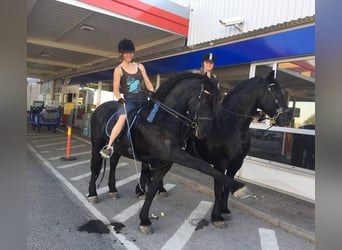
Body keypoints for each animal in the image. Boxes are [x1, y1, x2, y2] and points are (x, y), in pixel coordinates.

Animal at [87, 72, 247, 234]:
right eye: (206, 101)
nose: (203, 132)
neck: (161, 120)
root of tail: (99, 108)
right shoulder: (175, 154)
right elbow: (203, 166)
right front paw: (238, 187)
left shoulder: (165, 162)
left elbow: (152, 190)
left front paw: (144, 220)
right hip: (96, 144)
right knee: (95, 167)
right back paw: (93, 194)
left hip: (117, 149)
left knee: (113, 164)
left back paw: (112, 190)